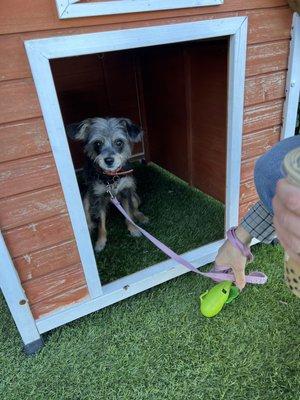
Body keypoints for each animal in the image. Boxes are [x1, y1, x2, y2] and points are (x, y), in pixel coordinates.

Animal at [67, 117, 149, 252]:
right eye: (97, 143)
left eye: (119, 142)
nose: (109, 160)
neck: (111, 177)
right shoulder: (99, 198)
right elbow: (101, 224)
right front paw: (100, 242)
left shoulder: (126, 191)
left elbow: (129, 214)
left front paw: (133, 229)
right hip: (86, 199)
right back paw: (89, 226)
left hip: (134, 194)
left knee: (135, 208)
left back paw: (141, 217)